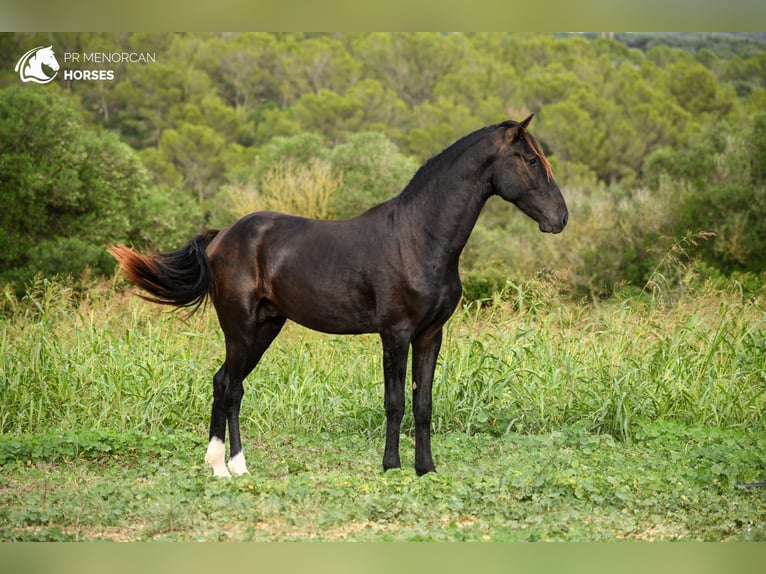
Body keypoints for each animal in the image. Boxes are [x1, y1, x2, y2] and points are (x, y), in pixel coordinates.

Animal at [112, 115, 568, 480]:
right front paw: (391, 466)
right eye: (531, 161)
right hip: (239, 328)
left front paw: (426, 468)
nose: (560, 218)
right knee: (229, 386)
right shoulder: (395, 334)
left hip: (265, 327)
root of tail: (221, 236)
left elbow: (423, 404)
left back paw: (233, 466)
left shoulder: (430, 335)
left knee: (228, 383)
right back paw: (224, 467)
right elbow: (395, 402)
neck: (419, 236)